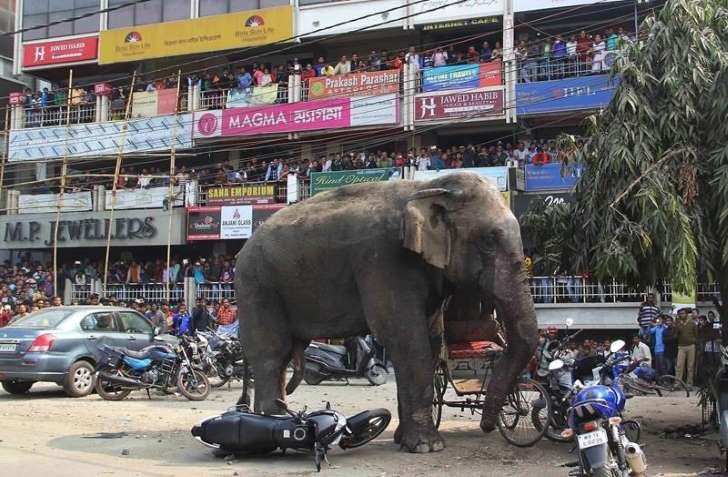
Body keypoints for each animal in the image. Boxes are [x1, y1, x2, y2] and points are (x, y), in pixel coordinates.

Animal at [234, 172, 538, 453]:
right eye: (489, 240)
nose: (487, 425)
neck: (427, 188)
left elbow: (429, 341)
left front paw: (404, 441)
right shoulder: (384, 260)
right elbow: (405, 337)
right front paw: (428, 447)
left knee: (282, 357)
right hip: (256, 285)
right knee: (271, 355)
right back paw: (272, 427)